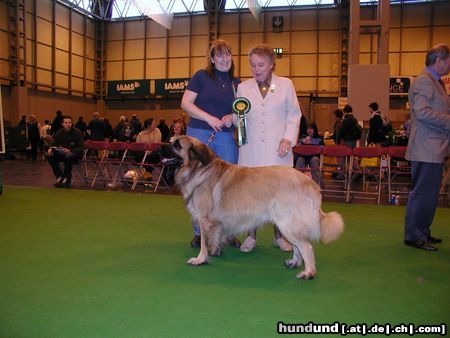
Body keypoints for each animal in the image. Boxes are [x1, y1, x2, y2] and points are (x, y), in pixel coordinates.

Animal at [172, 135, 344, 280]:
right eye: (173, 141)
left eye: (176, 145)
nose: (165, 146)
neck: (200, 169)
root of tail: (310, 183)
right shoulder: (217, 222)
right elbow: (217, 237)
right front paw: (216, 251)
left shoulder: (204, 219)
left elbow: (204, 243)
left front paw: (200, 259)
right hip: (286, 224)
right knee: (297, 246)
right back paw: (294, 263)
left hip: (287, 223)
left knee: (306, 246)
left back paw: (308, 273)